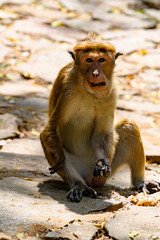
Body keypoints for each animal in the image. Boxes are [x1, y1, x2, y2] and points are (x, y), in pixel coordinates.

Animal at [39, 34, 159, 202]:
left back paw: (139, 182)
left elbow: (102, 133)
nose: (95, 73)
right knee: (46, 138)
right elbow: (50, 131)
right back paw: (79, 186)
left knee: (129, 126)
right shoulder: (67, 89)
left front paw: (103, 163)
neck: (89, 91)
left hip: (102, 171)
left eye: (101, 60)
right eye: (89, 60)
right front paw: (60, 160)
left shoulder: (112, 91)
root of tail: (89, 178)